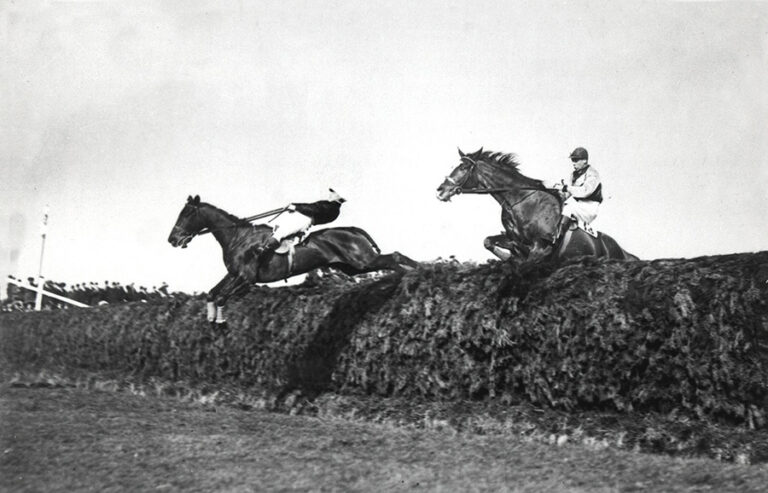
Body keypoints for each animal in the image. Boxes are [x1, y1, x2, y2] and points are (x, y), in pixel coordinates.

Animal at [170, 196, 420, 322]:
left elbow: (222, 297)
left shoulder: (247, 279)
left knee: (393, 257)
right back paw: (416, 271)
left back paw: (412, 274)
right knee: (393, 258)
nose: (172, 239)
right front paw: (210, 317)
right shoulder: (234, 274)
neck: (238, 237)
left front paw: (220, 321)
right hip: (352, 267)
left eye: (186, 213)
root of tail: (353, 230)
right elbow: (212, 293)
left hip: (362, 260)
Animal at [436, 149, 640, 264]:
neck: (524, 202)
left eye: (463, 168)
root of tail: (623, 252)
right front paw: (509, 258)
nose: (441, 190)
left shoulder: (540, 248)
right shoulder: (514, 239)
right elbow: (489, 241)